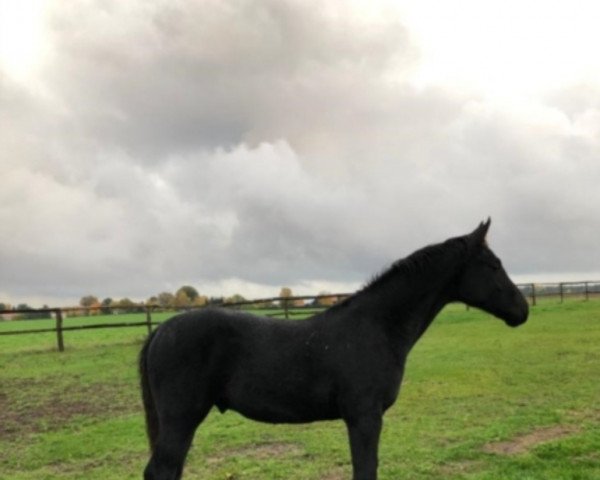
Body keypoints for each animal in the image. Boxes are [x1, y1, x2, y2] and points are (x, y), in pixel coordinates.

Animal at [139, 219, 524, 478]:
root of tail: (161, 331)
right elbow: (365, 471)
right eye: (493, 265)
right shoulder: (365, 417)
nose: (522, 310)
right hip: (181, 419)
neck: (377, 326)